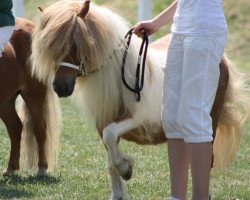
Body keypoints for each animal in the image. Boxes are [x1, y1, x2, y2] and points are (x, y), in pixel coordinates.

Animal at [0, 18, 60, 176]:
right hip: (6, 101)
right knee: (15, 128)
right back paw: (11, 167)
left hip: (34, 94)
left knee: (40, 128)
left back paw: (42, 168)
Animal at [30, 0, 249, 198]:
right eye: (51, 48)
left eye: (76, 44)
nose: (60, 87)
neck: (120, 76)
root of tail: (223, 61)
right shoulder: (103, 125)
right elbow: (110, 159)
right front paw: (118, 192)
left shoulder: (137, 120)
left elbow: (111, 139)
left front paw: (126, 169)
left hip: (208, 122)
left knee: (205, 157)